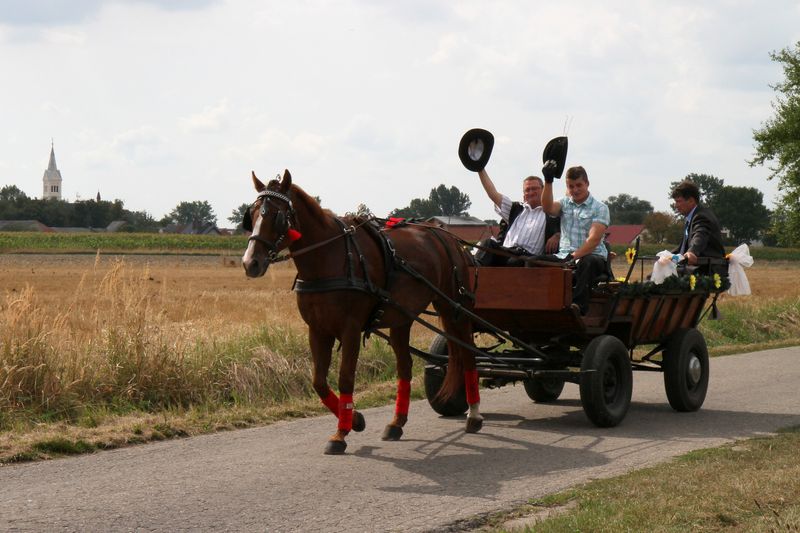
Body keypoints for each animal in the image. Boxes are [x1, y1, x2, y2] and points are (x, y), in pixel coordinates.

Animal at [242, 169, 482, 454]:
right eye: (251, 215)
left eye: (277, 216)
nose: (250, 262)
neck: (329, 256)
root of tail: (449, 238)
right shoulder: (318, 329)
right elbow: (319, 382)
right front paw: (355, 419)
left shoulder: (351, 329)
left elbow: (345, 378)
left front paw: (341, 434)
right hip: (402, 318)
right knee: (405, 366)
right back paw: (396, 423)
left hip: (454, 308)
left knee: (467, 355)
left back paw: (474, 415)